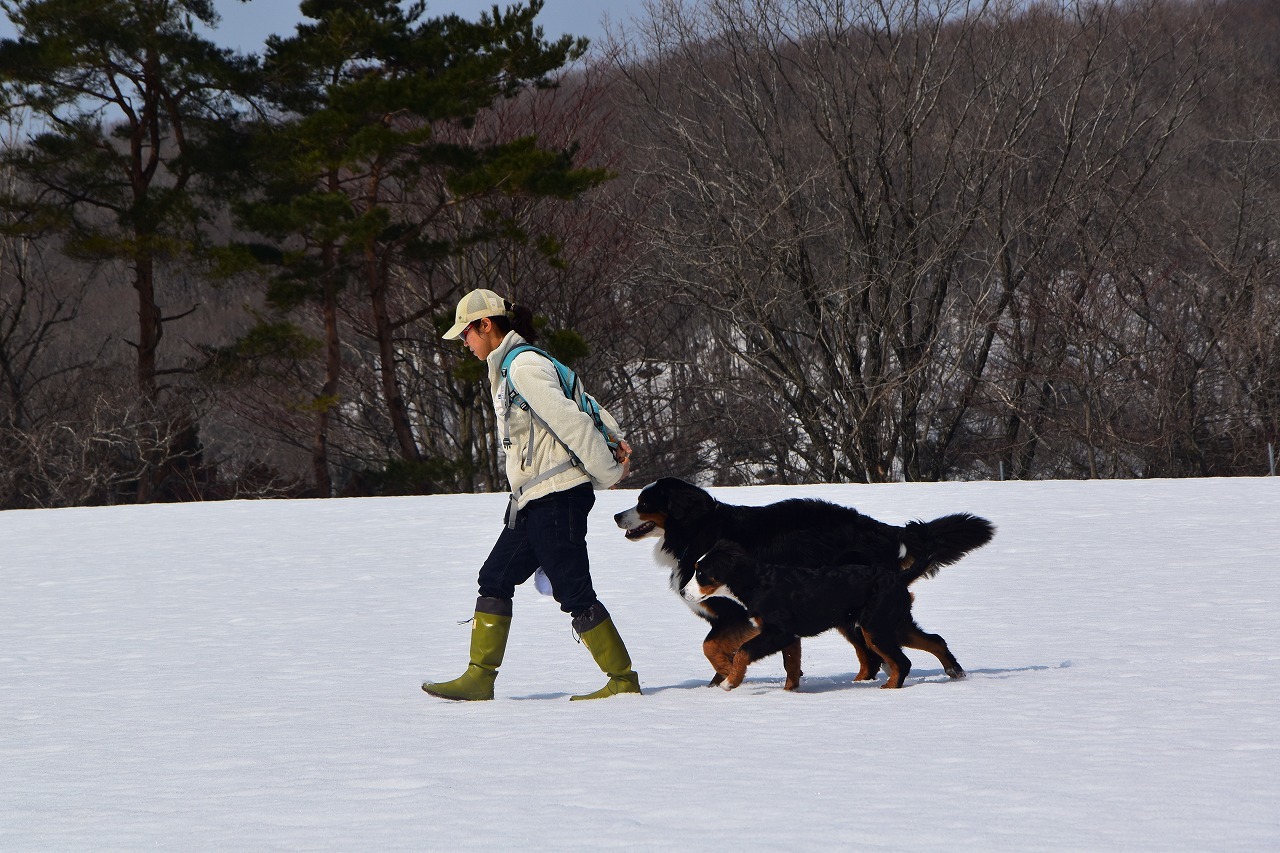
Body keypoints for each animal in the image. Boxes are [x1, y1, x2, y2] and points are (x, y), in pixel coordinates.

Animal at [686, 540, 962, 686]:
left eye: (701, 572)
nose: (683, 591)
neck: (757, 582)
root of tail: (898, 576)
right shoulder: (790, 636)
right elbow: (791, 666)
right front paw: (790, 692)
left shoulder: (779, 632)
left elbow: (744, 652)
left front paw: (730, 682)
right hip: (896, 624)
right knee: (935, 641)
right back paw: (955, 671)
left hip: (876, 628)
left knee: (903, 662)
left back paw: (888, 688)